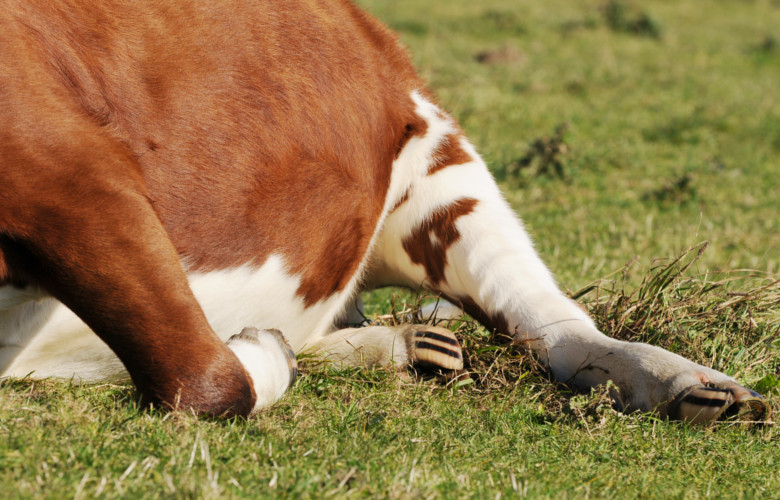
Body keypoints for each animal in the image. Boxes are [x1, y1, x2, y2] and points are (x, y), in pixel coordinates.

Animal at [0, 0, 768, 424]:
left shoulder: (77, 172)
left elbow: (207, 379)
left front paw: (258, 357)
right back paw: (405, 346)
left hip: (440, 158)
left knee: (556, 326)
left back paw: (693, 385)